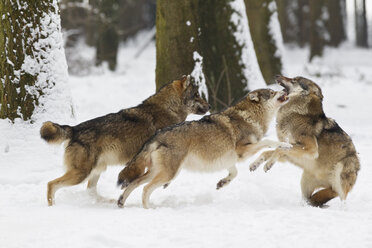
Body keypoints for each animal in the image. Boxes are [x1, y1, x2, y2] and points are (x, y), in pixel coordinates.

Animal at [41, 75, 211, 205]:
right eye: (197, 94)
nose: (209, 106)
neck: (168, 109)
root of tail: (74, 129)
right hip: (81, 174)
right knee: (51, 184)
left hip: (96, 171)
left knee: (90, 191)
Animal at [117, 88, 290, 208]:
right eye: (272, 92)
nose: (285, 90)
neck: (250, 117)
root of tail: (156, 135)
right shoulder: (242, 151)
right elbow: (269, 141)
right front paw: (285, 144)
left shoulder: (229, 159)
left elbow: (234, 173)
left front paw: (223, 183)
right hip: (168, 175)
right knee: (146, 189)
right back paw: (148, 210)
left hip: (158, 172)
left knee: (134, 183)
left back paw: (120, 202)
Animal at [250, 75, 360, 207]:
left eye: (294, 80)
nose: (277, 76)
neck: (295, 113)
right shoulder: (289, 151)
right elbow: (269, 151)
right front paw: (256, 164)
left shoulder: (310, 149)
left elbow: (278, 150)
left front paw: (268, 164)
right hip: (305, 181)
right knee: (312, 198)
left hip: (343, 169)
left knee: (337, 193)